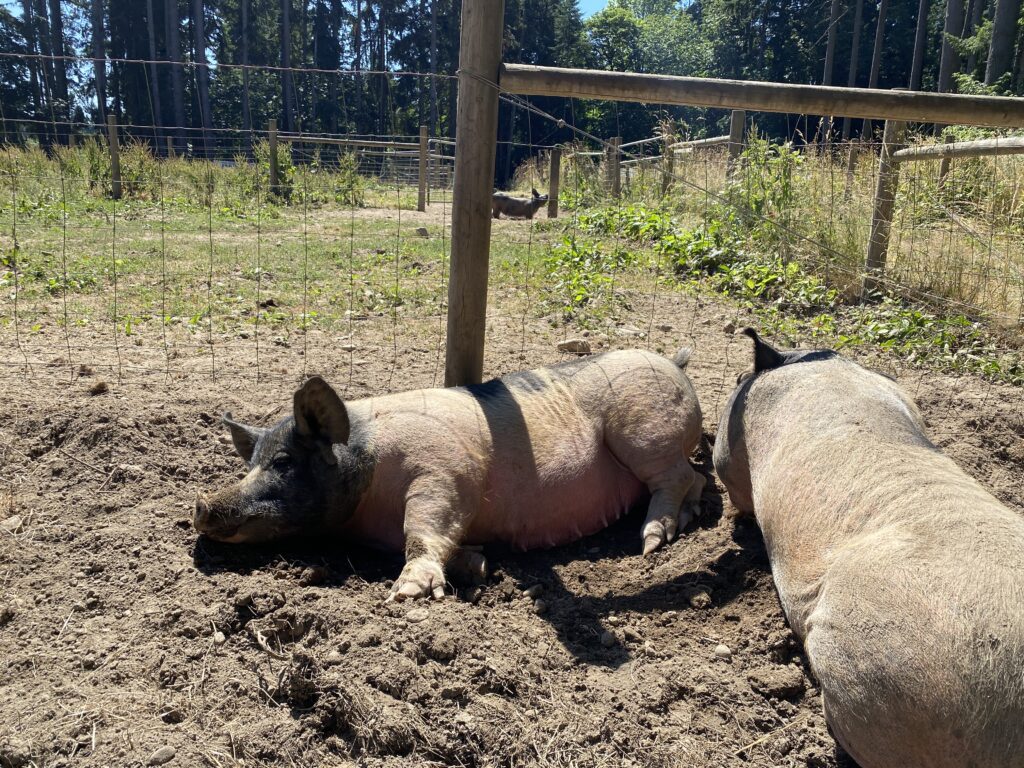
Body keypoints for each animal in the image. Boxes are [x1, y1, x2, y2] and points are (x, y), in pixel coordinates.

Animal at [195, 349, 704, 600]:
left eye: (283, 462)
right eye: (250, 464)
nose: (201, 505)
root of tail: (674, 364)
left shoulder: (444, 469)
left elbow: (424, 529)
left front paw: (405, 593)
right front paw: (478, 563)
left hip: (644, 428)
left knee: (674, 478)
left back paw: (650, 542)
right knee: (695, 478)